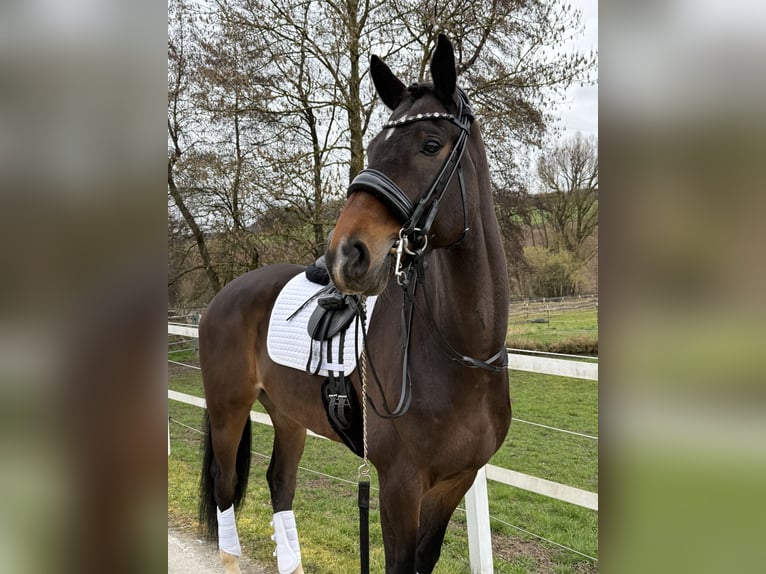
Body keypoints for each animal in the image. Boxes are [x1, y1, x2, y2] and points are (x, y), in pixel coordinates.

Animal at [198, 33, 511, 574]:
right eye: (377, 147)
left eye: (430, 144)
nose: (345, 253)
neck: (462, 354)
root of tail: (223, 296)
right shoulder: (399, 486)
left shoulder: (455, 483)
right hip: (227, 409)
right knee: (224, 489)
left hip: (287, 413)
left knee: (279, 484)